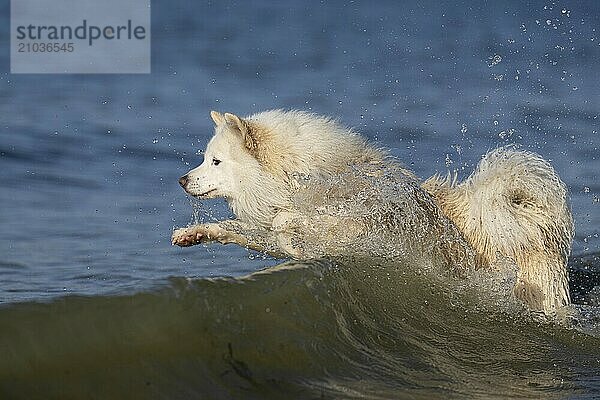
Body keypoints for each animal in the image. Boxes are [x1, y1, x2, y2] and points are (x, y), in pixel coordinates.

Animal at [171, 108, 576, 312]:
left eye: (216, 161)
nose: (182, 179)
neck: (302, 176)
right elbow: (247, 229)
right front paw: (195, 233)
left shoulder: (368, 218)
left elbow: (304, 221)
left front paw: (296, 225)